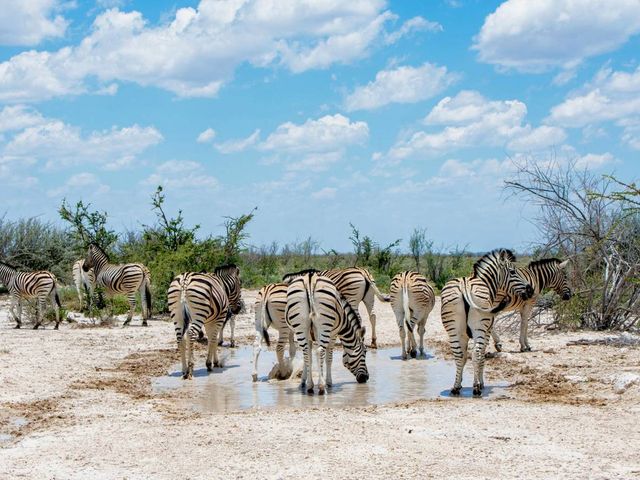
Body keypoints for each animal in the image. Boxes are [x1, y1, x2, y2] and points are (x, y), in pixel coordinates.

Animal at [440, 248, 536, 398]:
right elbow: (481, 357)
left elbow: (464, 357)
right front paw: (480, 383)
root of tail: (464, 285)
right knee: (477, 353)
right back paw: (476, 388)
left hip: (453, 329)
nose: (530, 290)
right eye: (513, 272)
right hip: (480, 327)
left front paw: (459, 383)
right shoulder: (487, 331)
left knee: (458, 355)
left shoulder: (464, 335)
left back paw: (455, 389)